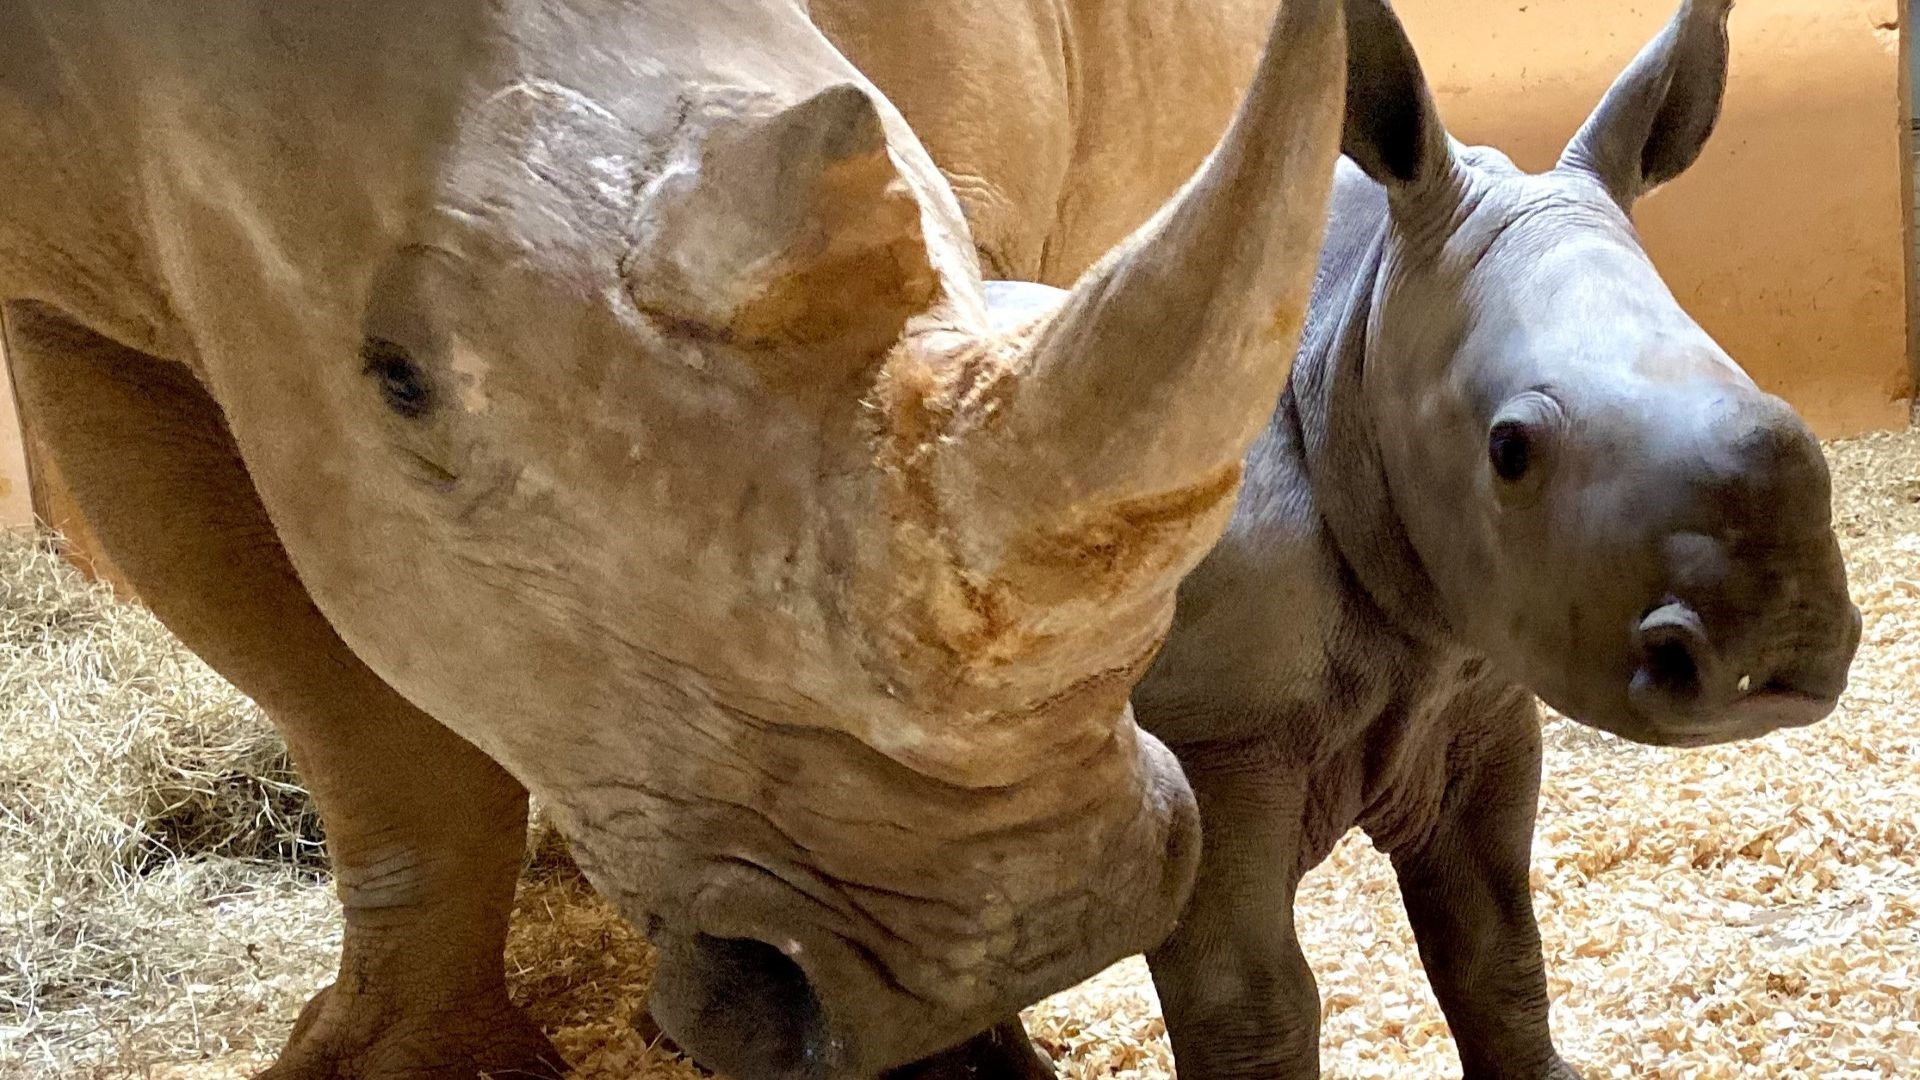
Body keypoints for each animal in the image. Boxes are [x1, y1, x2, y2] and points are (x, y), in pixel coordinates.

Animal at [867, 0, 1858, 1068]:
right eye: (1509, 450)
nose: (1774, 645)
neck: (1354, 347)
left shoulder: (1479, 695)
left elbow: (1498, 947)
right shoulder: (1218, 740)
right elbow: (1257, 1004)